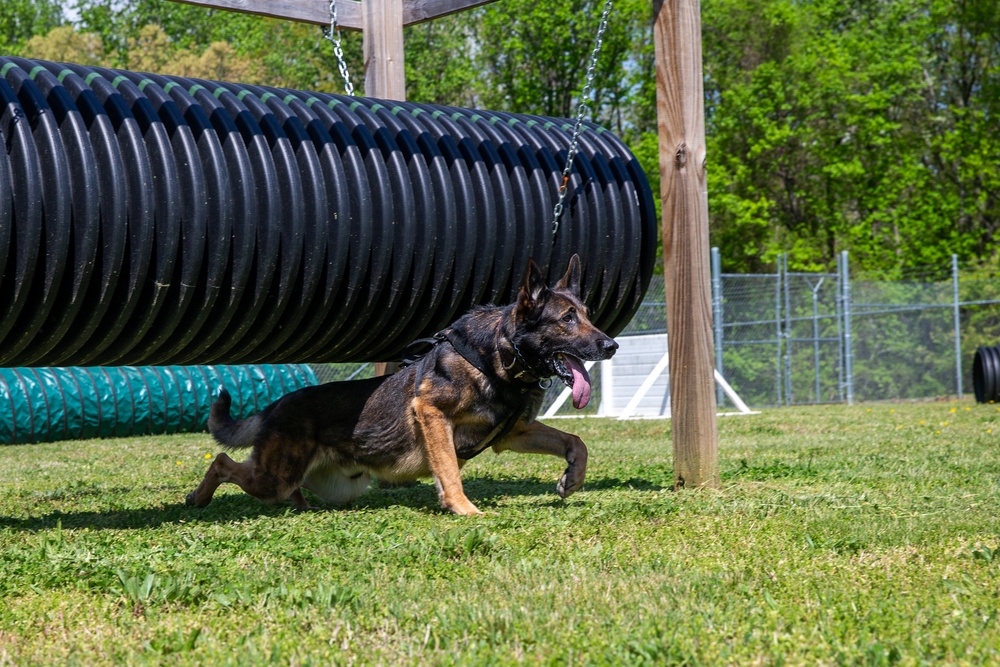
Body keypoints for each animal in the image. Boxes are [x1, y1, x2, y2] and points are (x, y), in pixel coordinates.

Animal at [184, 256, 612, 516]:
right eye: (567, 319)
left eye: (588, 315)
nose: (611, 345)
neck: (498, 357)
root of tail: (274, 407)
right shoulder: (432, 413)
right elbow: (449, 469)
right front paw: (464, 509)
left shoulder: (513, 433)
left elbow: (576, 441)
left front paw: (573, 477)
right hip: (274, 477)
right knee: (222, 462)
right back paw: (197, 497)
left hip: (328, 484)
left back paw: (299, 506)